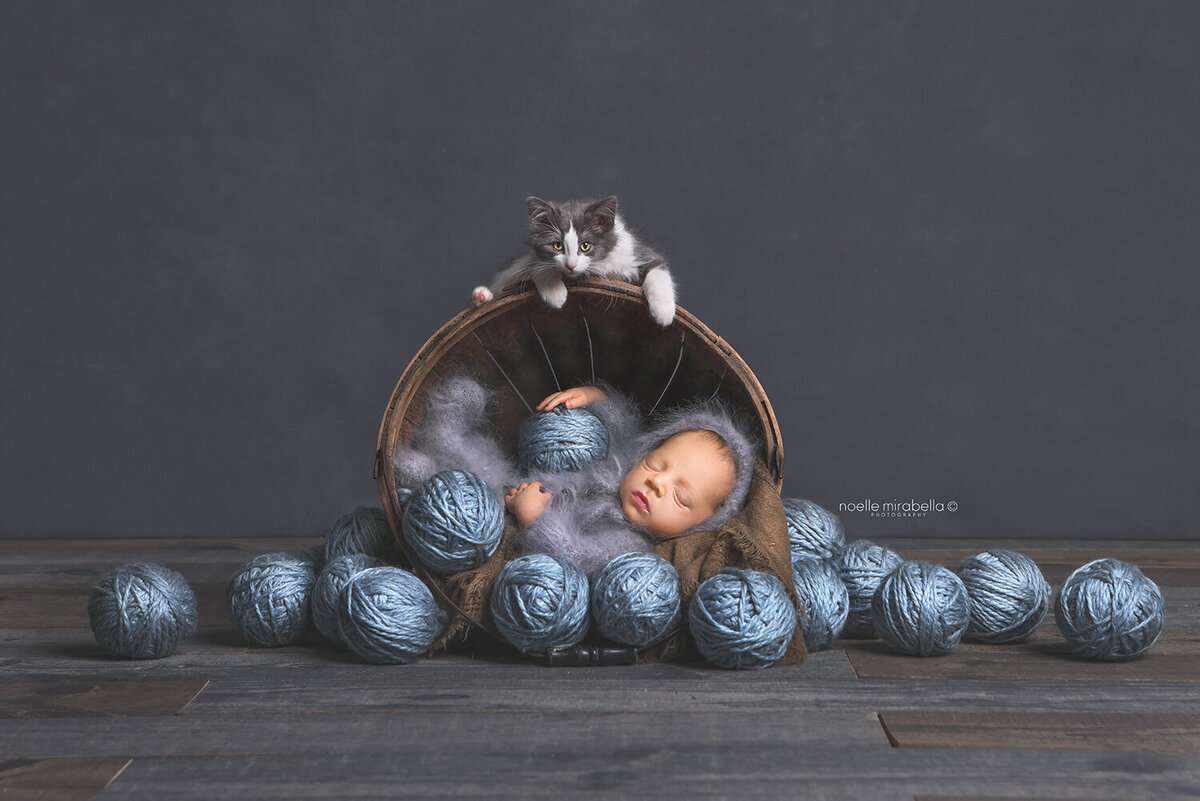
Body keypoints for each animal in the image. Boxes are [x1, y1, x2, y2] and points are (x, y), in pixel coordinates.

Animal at [468, 196, 676, 326]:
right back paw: (482, 296)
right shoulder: (535, 259)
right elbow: (539, 266)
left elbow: (658, 272)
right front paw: (556, 294)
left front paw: (664, 313)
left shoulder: (637, 252)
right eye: (557, 245)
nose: (571, 265)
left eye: (585, 246)